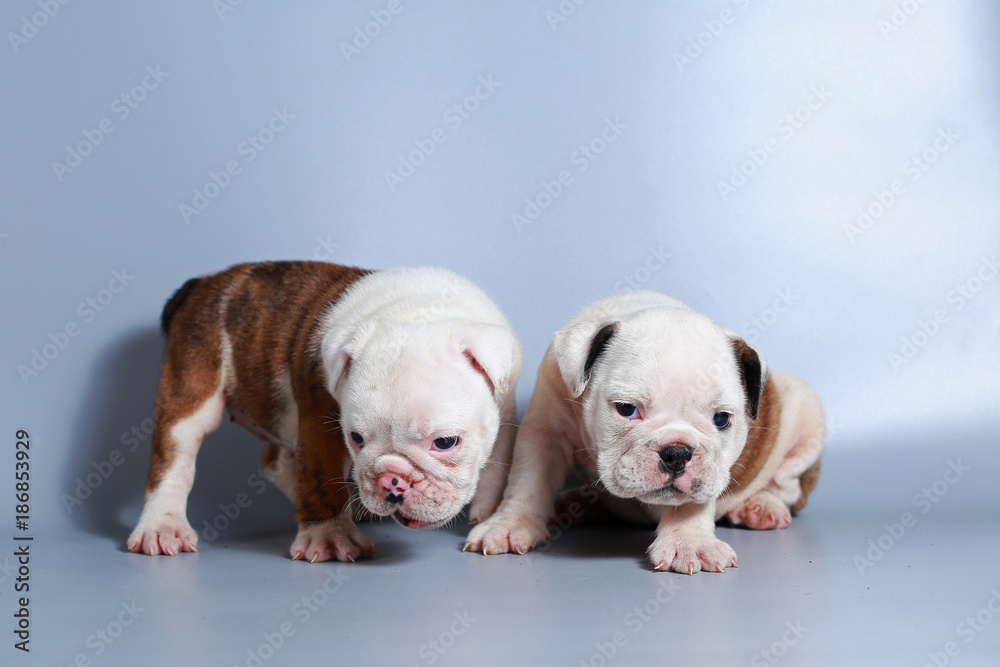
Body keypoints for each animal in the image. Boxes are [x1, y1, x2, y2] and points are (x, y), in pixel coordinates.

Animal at [128, 260, 520, 564]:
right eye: (356, 439)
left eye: (445, 443)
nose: (391, 481)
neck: (418, 312)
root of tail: (205, 284)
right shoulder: (320, 418)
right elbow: (319, 476)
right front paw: (329, 535)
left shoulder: (503, 407)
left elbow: (499, 461)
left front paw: (491, 512)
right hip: (191, 384)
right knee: (173, 459)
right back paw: (162, 526)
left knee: (278, 461)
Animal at [464, 290, 824, 576]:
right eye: (626, 409)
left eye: (721, 419)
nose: (677, 453)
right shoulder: (545, 432)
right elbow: (529, 481)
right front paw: (510, 524)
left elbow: (690, 501)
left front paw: (688, 542)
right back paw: (576, 503)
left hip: (805, 408)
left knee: (788, 486)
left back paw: (761, 508)